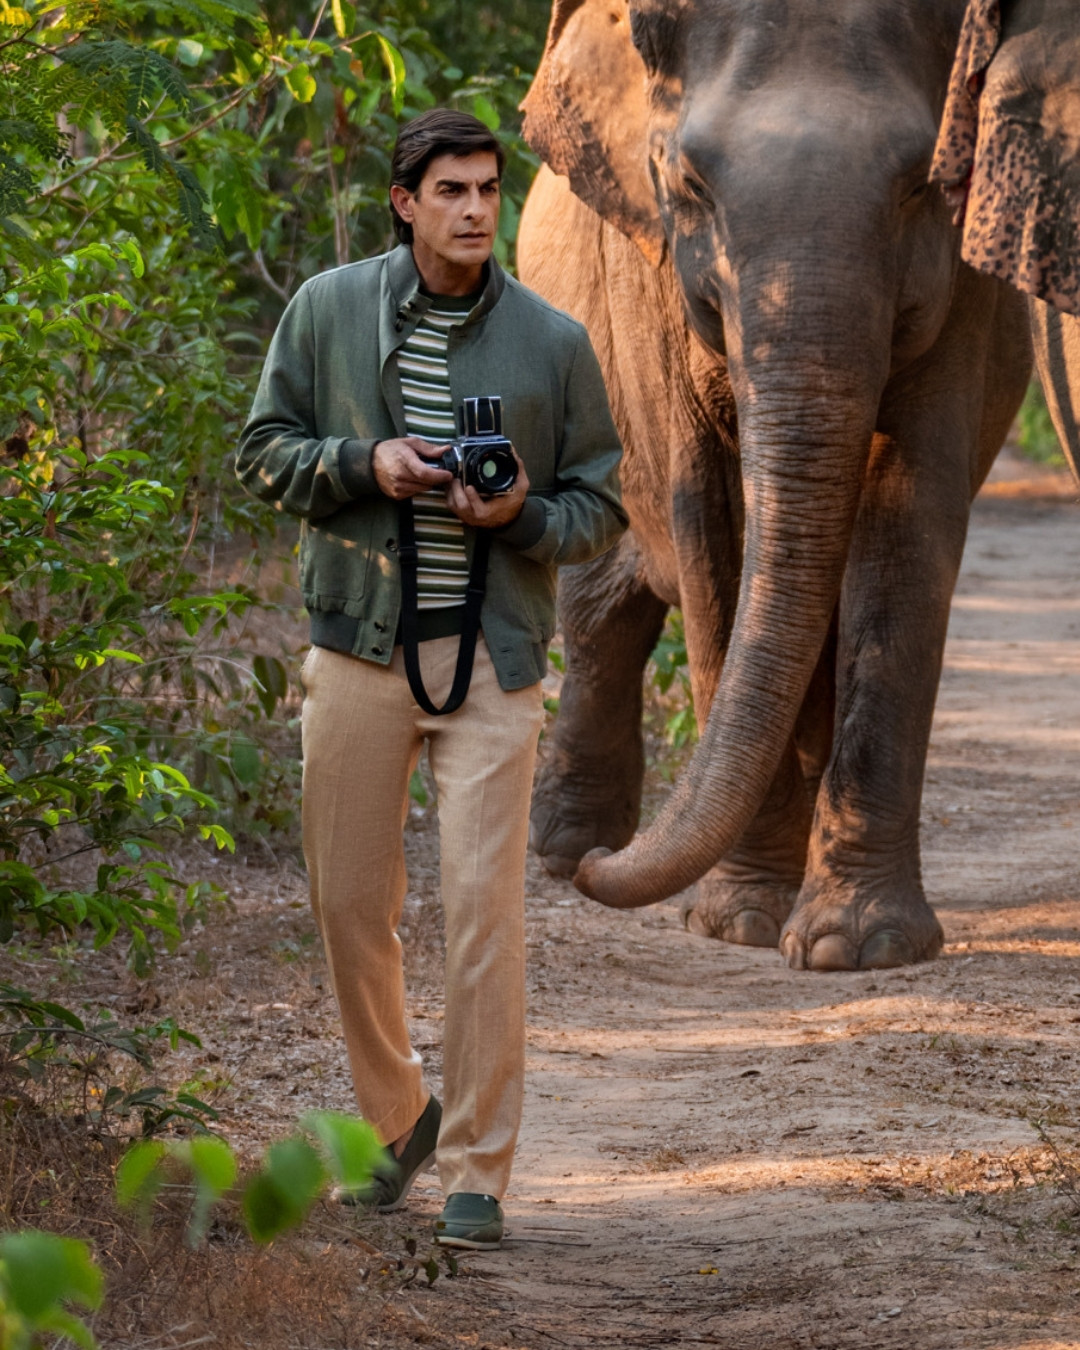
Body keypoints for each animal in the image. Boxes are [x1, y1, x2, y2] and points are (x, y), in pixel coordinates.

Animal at [517, 0, 1034, 971]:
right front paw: (740, 922)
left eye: (922, 186)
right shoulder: (651, 291)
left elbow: (909, 519)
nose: (606, 874)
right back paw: (564, 849)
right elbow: (710, 521)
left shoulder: (966, 305)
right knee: (603, 610)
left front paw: (853, 946)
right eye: (689, 182)